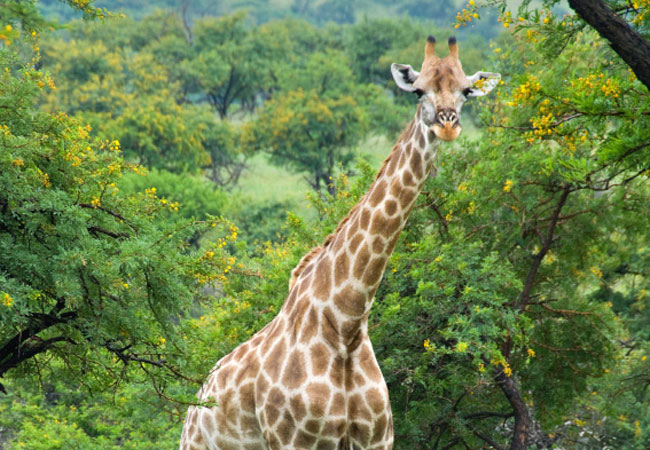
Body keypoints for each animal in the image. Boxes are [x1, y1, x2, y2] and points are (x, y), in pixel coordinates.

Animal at [180, 36, 498, 450]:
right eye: (418, 90)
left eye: (465, 91)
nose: (447, 124)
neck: (346, 325)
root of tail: (194, 404)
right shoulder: (294, 441)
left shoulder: (378, 440)